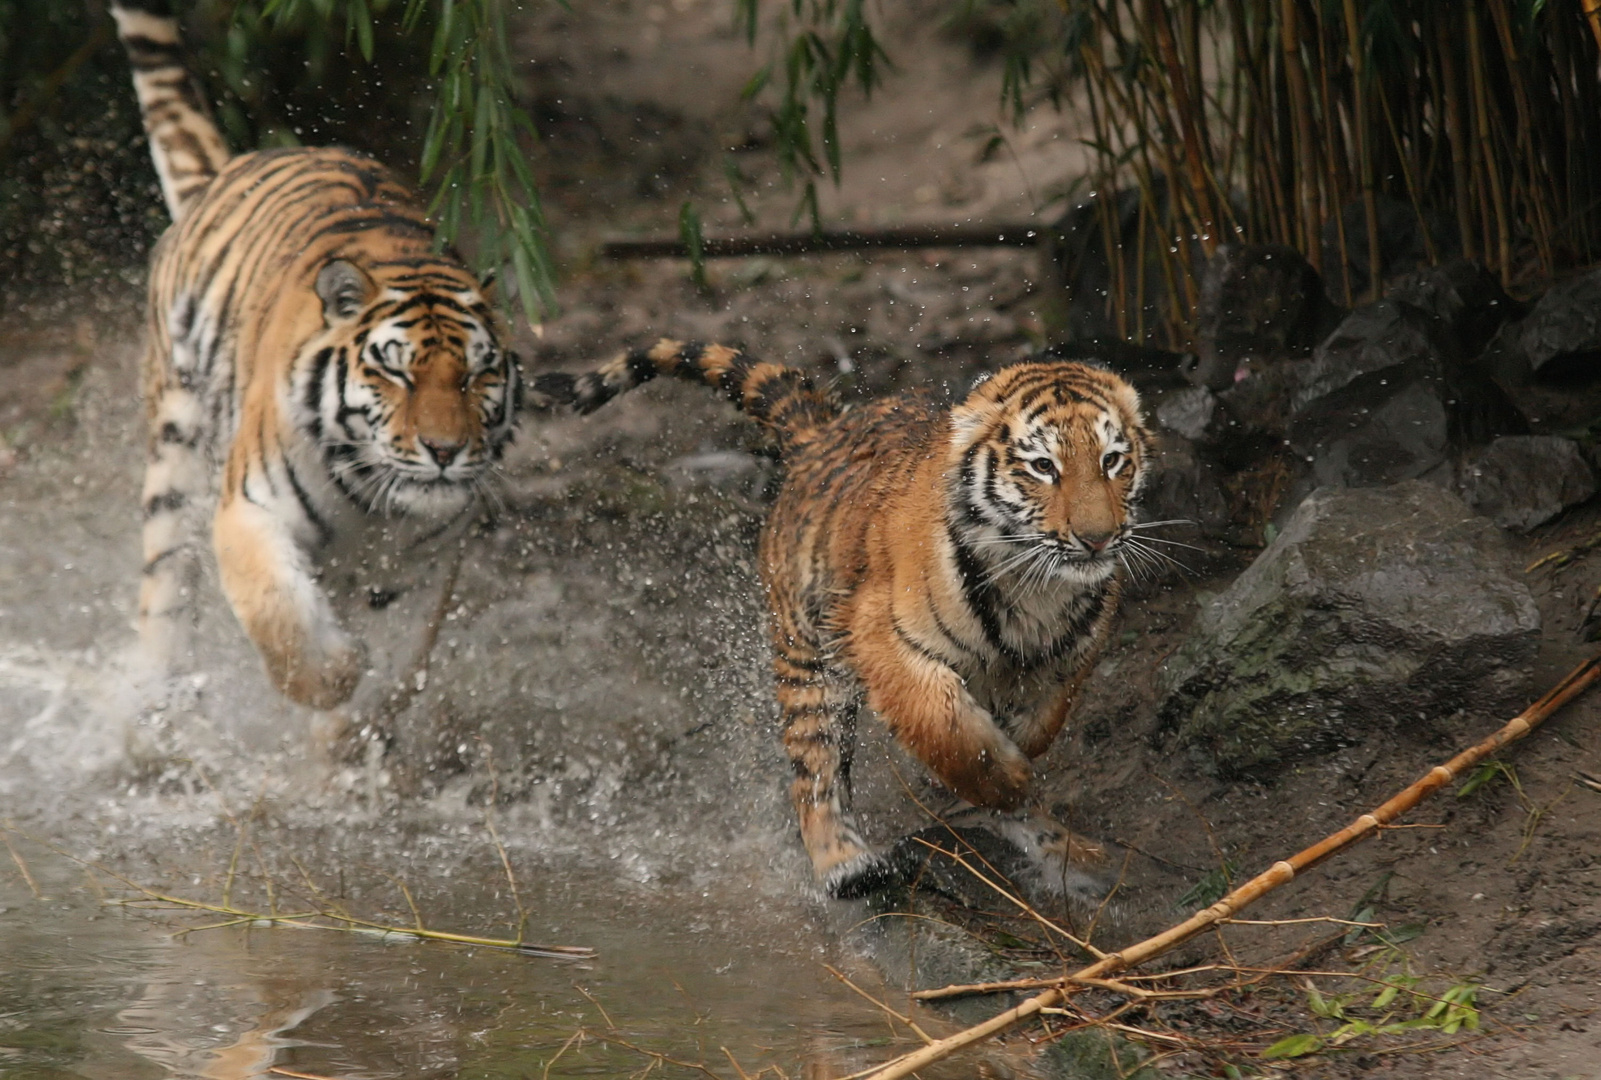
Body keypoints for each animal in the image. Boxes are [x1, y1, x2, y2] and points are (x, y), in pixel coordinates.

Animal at [114, 6, 525, 716]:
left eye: (477, 374)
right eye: (398, 373)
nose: (445, 451)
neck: (372, 503)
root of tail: (233, 167)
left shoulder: (422, 569)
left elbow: (396, 675)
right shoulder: (249, 511)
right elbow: (283, 621)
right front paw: (337, 669)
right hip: (175, 452)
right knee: (164, 598)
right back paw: (156, 706)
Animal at [537, 342, 1152, 902]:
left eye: (1112, 461)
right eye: (1043, 466)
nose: (1097, 539)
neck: (1036, 587)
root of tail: (821, 432)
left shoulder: (1070, 659)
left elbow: (1039, 722)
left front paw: (1014, 764)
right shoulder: (883, 637)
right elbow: (949, 730)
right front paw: (1003, 775)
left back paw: (1075, 859)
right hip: (810, 660)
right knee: (815, 774)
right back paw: (847, 863)